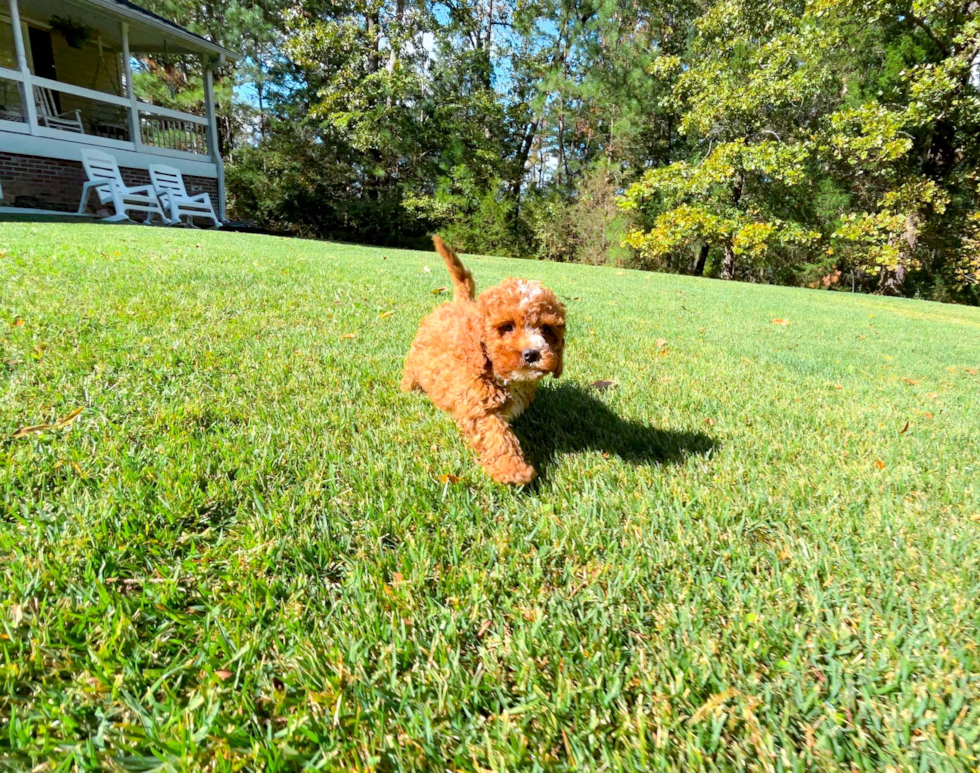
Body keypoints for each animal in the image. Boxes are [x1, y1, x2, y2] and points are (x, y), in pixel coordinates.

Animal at [400, 238, 568, 486]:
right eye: (506, 327)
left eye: (546, 329)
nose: (532, 354)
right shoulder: (478, 404)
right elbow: (496, 435)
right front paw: (513, 469)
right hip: (417, 356)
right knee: (411, 370)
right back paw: (408, 389)